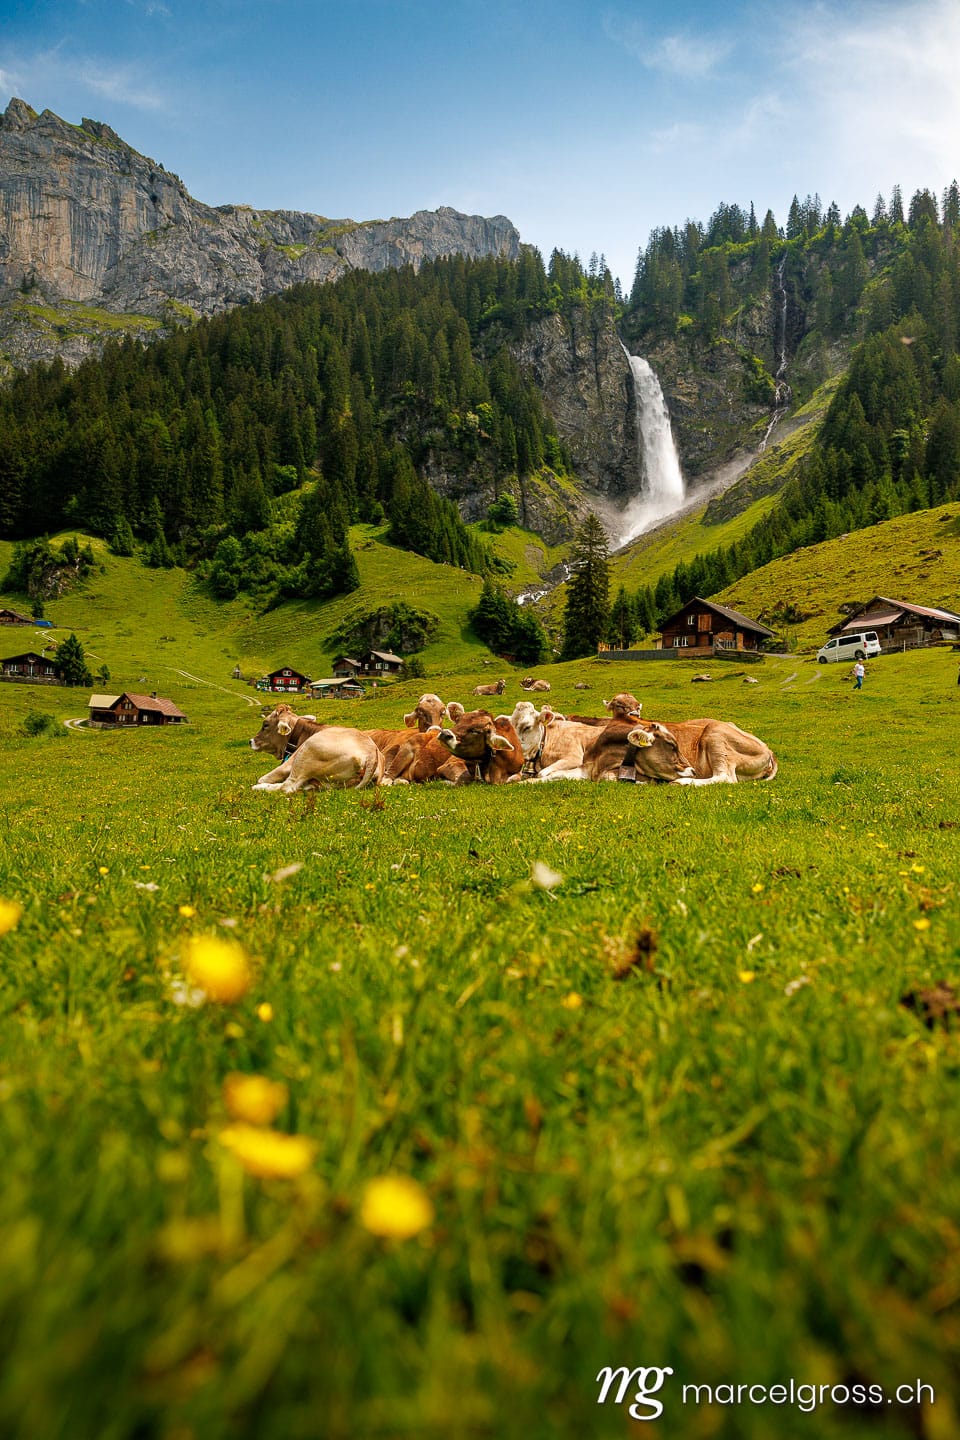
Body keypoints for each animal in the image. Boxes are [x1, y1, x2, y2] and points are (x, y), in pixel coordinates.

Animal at [252, 726, 383, 793]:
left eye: (265, 728)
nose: (250, 741)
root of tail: (371, 752)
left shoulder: (288, 764)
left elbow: (263, 778)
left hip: (307, 752)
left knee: (287, 786)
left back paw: (258, 788)